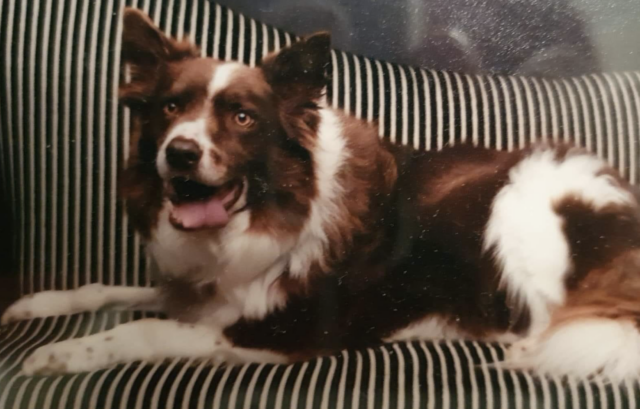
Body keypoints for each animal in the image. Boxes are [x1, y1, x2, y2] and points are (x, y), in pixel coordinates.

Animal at [3, 7, 640, 380]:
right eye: (170, 107)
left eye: (242, 117)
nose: (179, 153)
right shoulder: (200, 289)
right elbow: (110, 291)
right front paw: (38, 307)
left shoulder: (286, 332)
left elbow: (145, 327)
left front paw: (63, 354)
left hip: (520, 206)